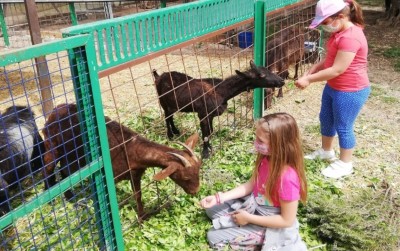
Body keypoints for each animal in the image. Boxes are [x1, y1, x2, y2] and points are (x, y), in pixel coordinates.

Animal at [43, 103, 203, 219]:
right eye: (185, 177)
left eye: (198, 171)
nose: (196, 191)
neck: (130, 148)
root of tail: (55, 109)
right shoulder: (112, 176)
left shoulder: (135, 174)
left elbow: (138, 195)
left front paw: (142, 217)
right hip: (52, 145)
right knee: (49, 167)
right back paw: (50, 199)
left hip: (72, 155)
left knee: (65, 171)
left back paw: (70, 198)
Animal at [153, 60, 284, 158]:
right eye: (261, 75)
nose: (282, 80)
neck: (221, 91)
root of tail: (159, 76)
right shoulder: (203, 114)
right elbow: (205, 134)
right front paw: (205, 154)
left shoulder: (211, 115)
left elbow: (210, 132)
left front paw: (210, 148)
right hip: (163, 102)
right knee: (167, 117)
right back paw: (170, 135)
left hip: (172, 105)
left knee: (170, 117)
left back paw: (176, 131)